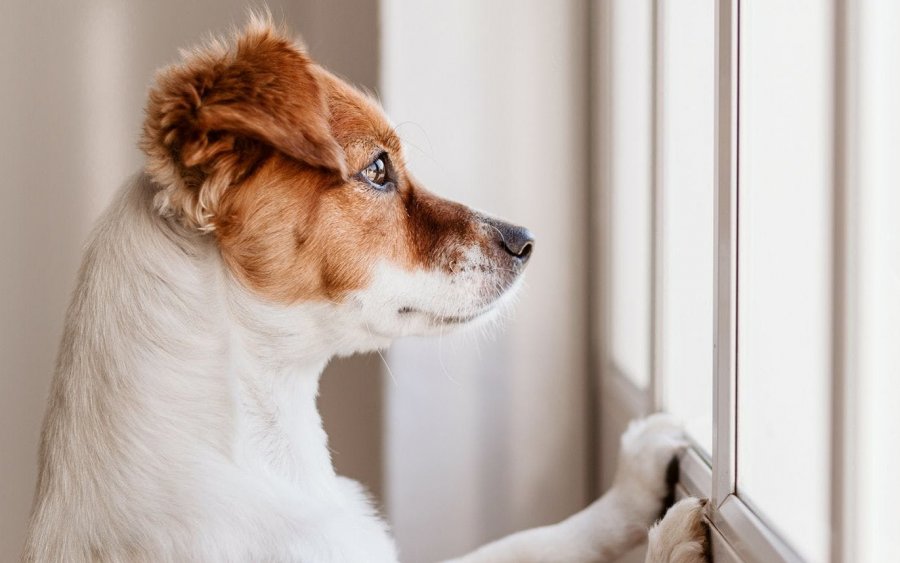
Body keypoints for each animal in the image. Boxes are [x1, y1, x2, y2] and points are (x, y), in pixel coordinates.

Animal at [22, 15, 712, 560]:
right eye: (378, 169)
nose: (526, 240)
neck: (265, 445)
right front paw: (670, 541)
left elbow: (527, 543)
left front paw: (632, 485)